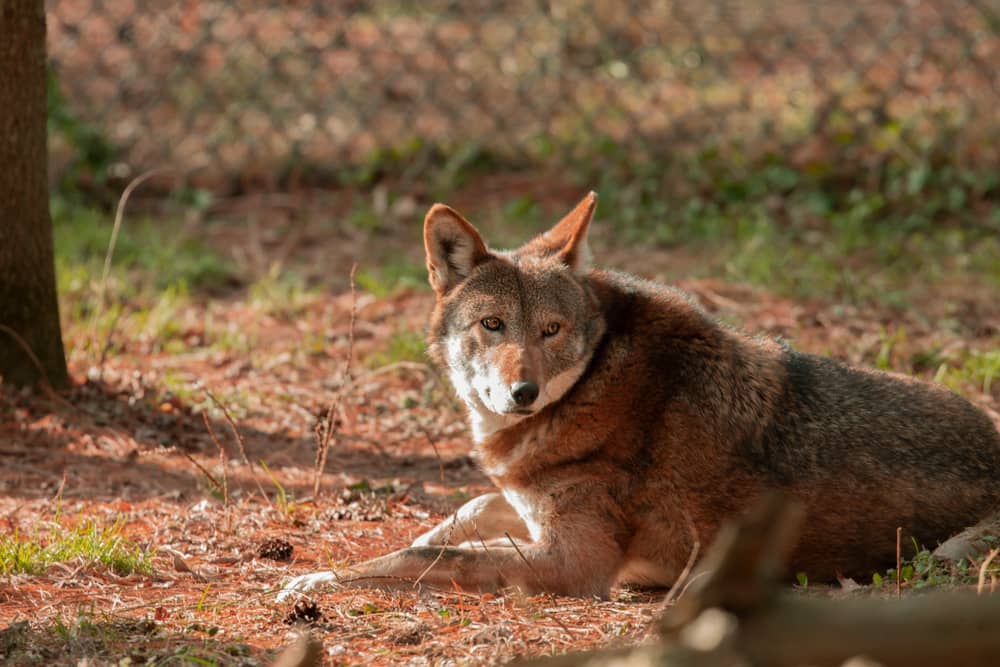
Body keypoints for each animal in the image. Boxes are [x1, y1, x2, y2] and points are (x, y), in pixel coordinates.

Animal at [279, 192, 1000, 601]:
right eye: (492, 325)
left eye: (551, 330)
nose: (522, 392)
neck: (593, 385)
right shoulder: (528, 511)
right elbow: (465, 512)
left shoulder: (575, 560)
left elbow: (437, 554)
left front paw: (318, 579)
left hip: (946, 553)